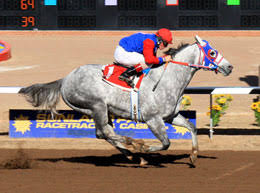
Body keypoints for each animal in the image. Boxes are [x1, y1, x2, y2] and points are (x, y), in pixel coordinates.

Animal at [19, 36, 233, 166]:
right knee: (105, 132)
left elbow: (192, 127)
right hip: (96, 105)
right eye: (212, 53)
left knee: (104, 133)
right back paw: (134, 145)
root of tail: (65, 79)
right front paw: (145, 149)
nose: (229, 67)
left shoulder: (171, 116)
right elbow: (166, 143)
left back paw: (130, 152)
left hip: (99, 110)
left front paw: (194, 156)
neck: (166, 79)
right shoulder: (153, 119)